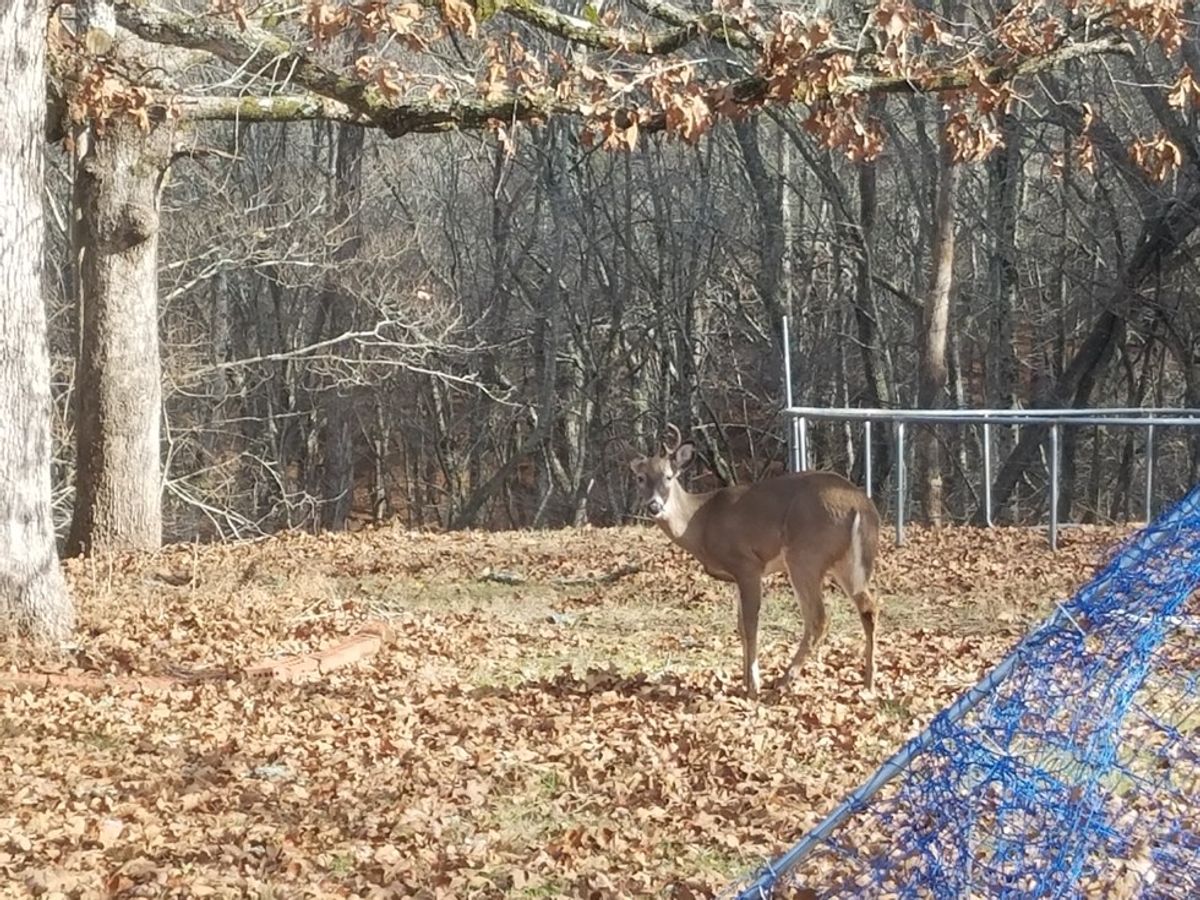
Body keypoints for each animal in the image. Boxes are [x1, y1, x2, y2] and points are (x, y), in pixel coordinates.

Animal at [628, 427, 883, 700]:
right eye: (641, 478)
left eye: (668, 476)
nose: (654, 506)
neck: (700, 522)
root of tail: (861, 506)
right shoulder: (736, 577)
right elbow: (740, 625)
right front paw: (743, 681)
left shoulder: (747, 565)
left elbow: (751, 624)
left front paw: (753, 686)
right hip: (847, 563)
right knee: (868, 608)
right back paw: (869, 683)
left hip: (805, 555)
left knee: (817, 617)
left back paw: (783, 682)